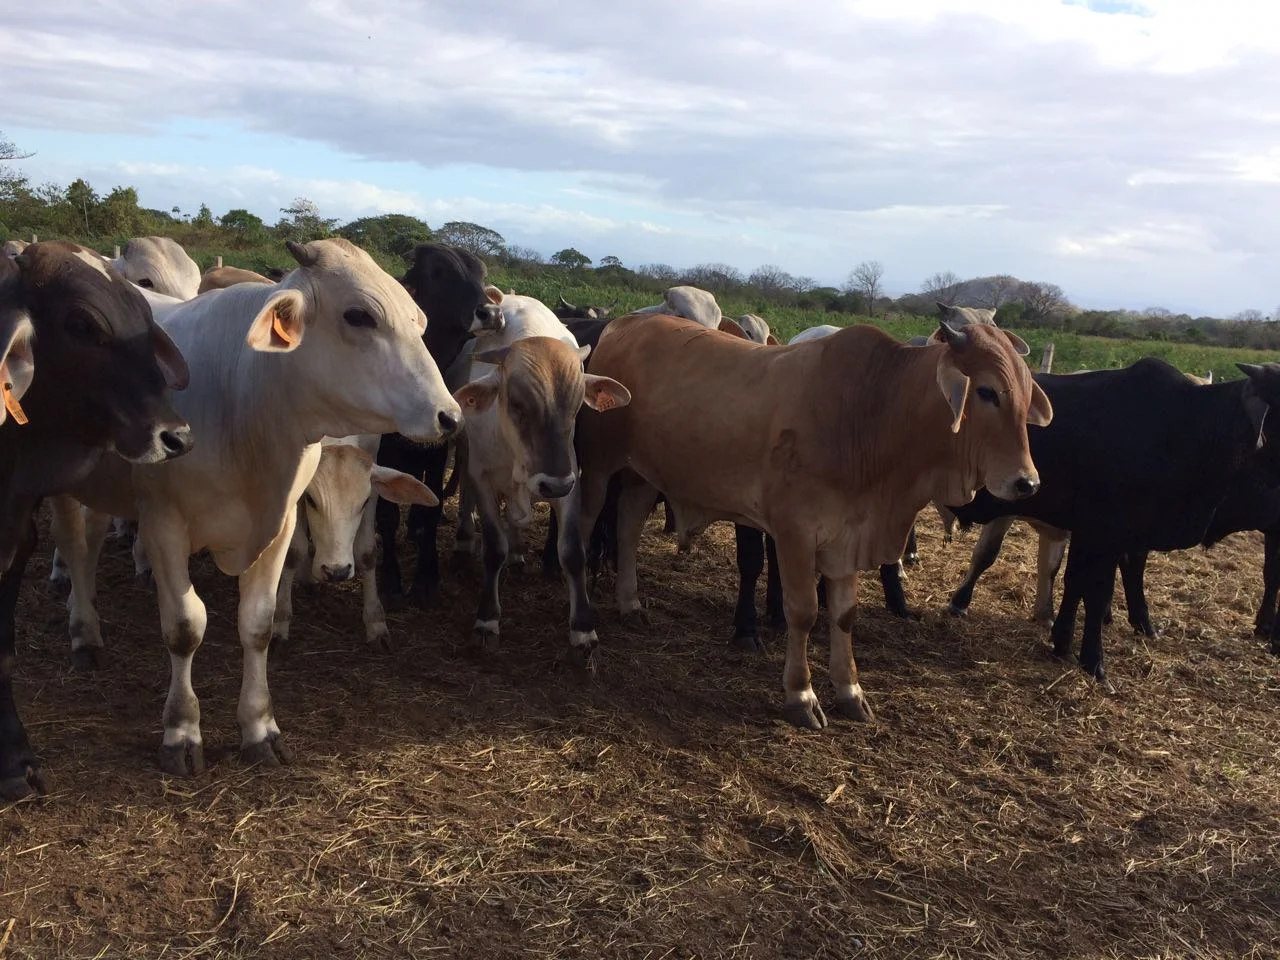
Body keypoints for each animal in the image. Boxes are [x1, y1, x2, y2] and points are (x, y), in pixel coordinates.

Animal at [273, 435, 436, 651]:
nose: (337, 572)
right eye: (311, 499)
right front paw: (280, 622)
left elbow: (367, 553)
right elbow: (293, 552)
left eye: (363, 502)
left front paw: (376, 623)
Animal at [374, 243, 503, 605]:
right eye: (438, 272)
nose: (490, 313)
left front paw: (426, 577)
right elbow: (387, 516)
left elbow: (432, 510)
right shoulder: (383, 453)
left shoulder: (435, 452)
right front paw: (390, 577)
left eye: (481, 273)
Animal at [575, 315, 1051, 727]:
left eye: (1027, 393)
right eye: (986, 392)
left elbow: (844, 615)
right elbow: (803, 612)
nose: (1027, 482)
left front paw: (850, 691)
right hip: (597, 469)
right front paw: (801, 696)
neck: (874, 413)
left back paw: (631, 604)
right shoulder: (795, 533)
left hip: (641, 475)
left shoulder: (848, 538)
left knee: (628, 529)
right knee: (583, 534)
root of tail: (624, 323)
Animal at [945, 360, 1280, 692]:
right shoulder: (1103, 534)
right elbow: (1096, 592)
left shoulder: (1099, 534)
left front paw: (1063, 642)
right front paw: (1094, 662)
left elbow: (1076, 582)